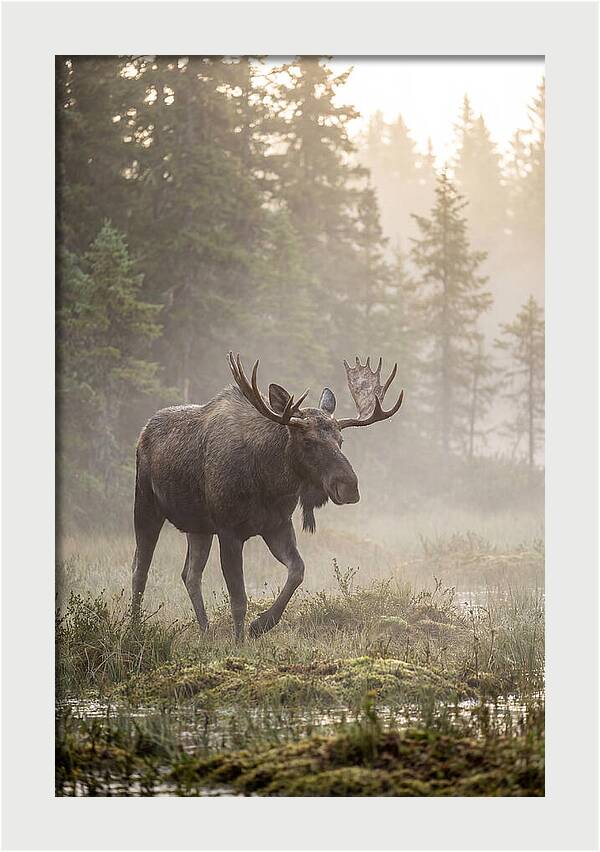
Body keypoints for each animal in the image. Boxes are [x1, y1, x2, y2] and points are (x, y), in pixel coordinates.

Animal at [132, 352, 403, 639]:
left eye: (341, 441)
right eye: (308, 441)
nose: (349, 486)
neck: (269, 482)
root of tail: (143, 432)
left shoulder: (277, 525)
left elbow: (297, 571)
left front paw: (261, 624)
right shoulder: (228, 531)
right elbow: (239, 599)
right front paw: (239, 641)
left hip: (198, 526)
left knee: (190, 574)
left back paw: (205, 631)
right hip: (146, 505)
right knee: (140, 568)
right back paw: (135, 628)